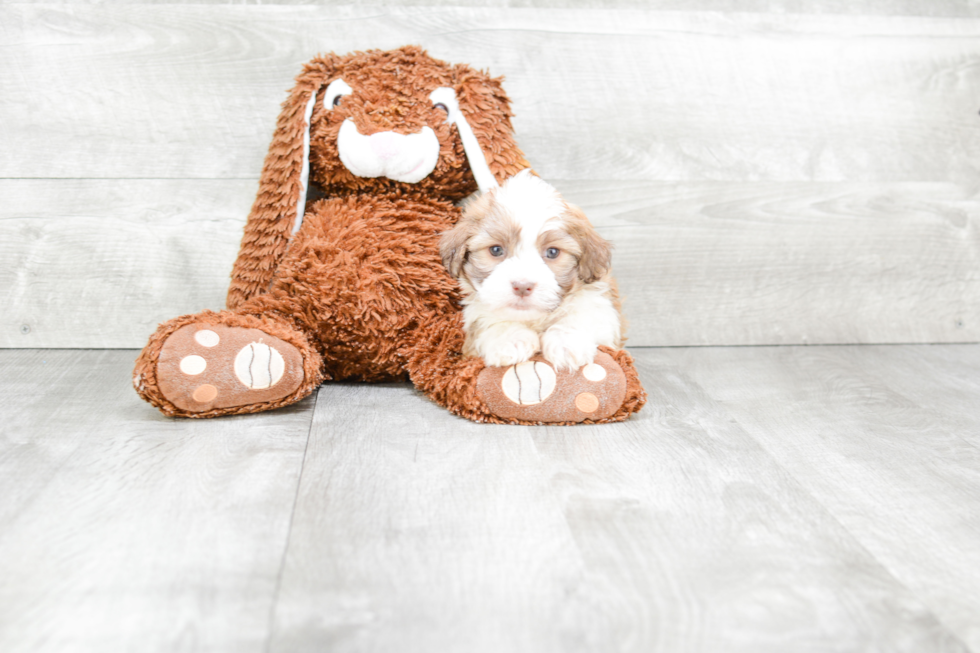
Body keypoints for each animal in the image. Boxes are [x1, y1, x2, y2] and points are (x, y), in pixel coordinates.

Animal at [440, 168, 624, 372]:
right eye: (496, 250)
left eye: (552, 252)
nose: (522, 286)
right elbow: (488, 320)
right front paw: (509, 340)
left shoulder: (602, 308)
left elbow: (584, 313)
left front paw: (566, 342)